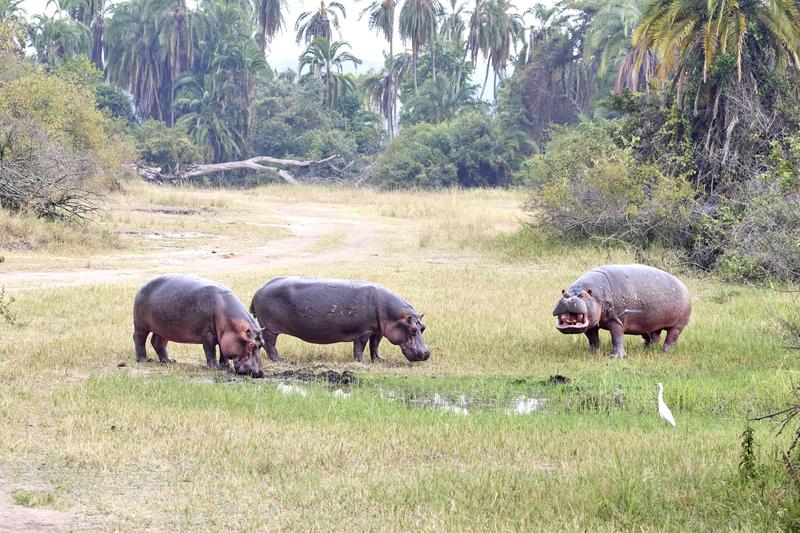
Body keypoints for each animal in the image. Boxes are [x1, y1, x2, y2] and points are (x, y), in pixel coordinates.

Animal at [134, 276, 266, 376]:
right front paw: (215, 368)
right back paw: (145, 360)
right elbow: (210, 350)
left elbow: (223, 350)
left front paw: (225, 365)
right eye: (251, 345)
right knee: (139, 339)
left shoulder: (224, 335)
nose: (259, 373)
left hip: (164, 329)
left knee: (157, 342)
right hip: (141, 325)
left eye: (262, 344)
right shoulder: (208, 334)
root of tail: (142, 286)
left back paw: (169, 361)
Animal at [250, 278, 432, 362]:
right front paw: (361, 362)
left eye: (423, 327)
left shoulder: (378, 330)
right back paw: (279, 359)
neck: (391, 313)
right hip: (270, 328)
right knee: (270, 344)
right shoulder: (364, 331)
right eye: (412, 329)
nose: (426, 353)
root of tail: (259, 289)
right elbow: (360, 347)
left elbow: (375, 345)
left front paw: (379, 360)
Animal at [552, 264, 692, 358]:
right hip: (651, 324)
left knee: (671, 338)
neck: (598, 294)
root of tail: (684, 286)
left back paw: (665, 353)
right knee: (655, 336)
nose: (569, 300)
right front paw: (592, 354)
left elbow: (617, 337)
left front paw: (616, 357)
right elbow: (593, 339)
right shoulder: (591, 323)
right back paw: (647, 349)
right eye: (564, 294)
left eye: (584, 295)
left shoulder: (616, 320)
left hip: (678, 325)